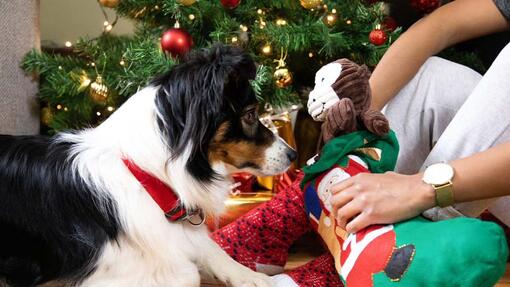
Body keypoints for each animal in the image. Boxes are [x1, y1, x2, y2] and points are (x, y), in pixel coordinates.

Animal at [0, 45, 294, 287]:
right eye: (250, 115)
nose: (293, 154)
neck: (145, 177)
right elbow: (187, 272)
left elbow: (210, 248)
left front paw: (250, 276)